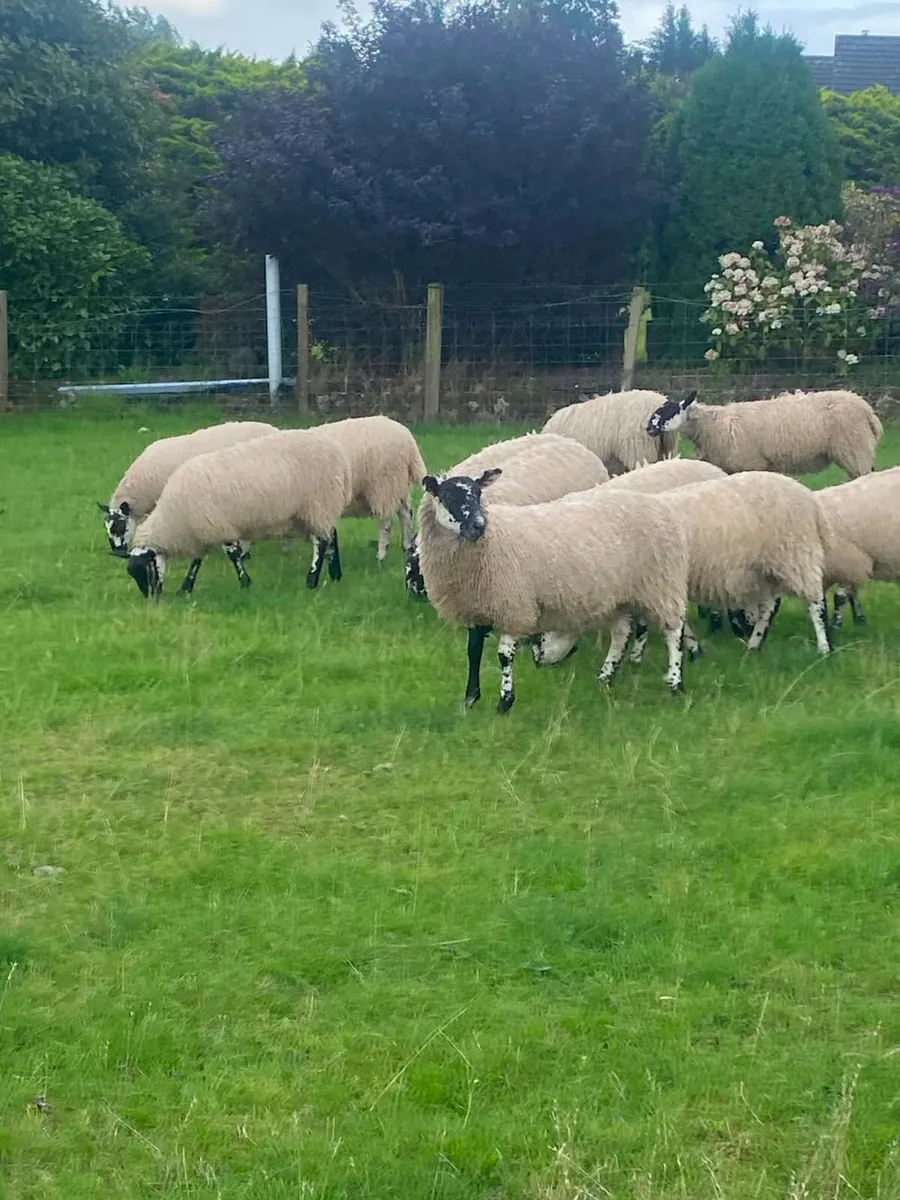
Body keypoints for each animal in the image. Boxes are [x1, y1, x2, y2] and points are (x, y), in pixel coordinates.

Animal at [125, 430, 352, 600]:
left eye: (146, 569)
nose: (151, 598)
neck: (173, 517)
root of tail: (337, 453)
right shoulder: (203, 530)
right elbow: (197, 561)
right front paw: (186, 588)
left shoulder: (219, 526)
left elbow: (233, 555)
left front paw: (245, 583)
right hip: (317, 510)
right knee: (332, 535)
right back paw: (335, 575)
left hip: (318, 503)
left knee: (322, 542)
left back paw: (311, 581)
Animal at [308, 416, 425, 564]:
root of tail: (408, 439)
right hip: (398, 486)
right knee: (406, 514)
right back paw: (407, 546)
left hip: (384, 486)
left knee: (386, 522)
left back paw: (381, 556)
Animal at [417, 471, 690, 712]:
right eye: (447, 496)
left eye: (478, 493)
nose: (478, 526)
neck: (491, 543)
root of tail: (656, 505)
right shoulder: (478, 607)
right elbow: (473, 653)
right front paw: (470, 699)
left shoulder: (514, 605)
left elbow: (504, 656)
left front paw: (505, 702)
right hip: (620, 594)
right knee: (621, 634)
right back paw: (605, 677)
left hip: (661, 583)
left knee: (674, 631)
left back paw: (675, 682)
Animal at [534, 471, 835, 668]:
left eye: (541, 633)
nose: (538, 663)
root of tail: (807, 496)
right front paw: (692, 648)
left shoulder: (653, 583)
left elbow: (646, 625)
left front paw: (638, 657)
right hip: (764, 569)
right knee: (769, 607)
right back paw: (754, 645)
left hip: (795, 555)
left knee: (815, 603)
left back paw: (823, 648)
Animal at [646, 389, 882, 479]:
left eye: (670, 411)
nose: (648, 428)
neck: (711, 425)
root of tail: (867, 411)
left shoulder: (750, 463)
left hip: (854, 449)